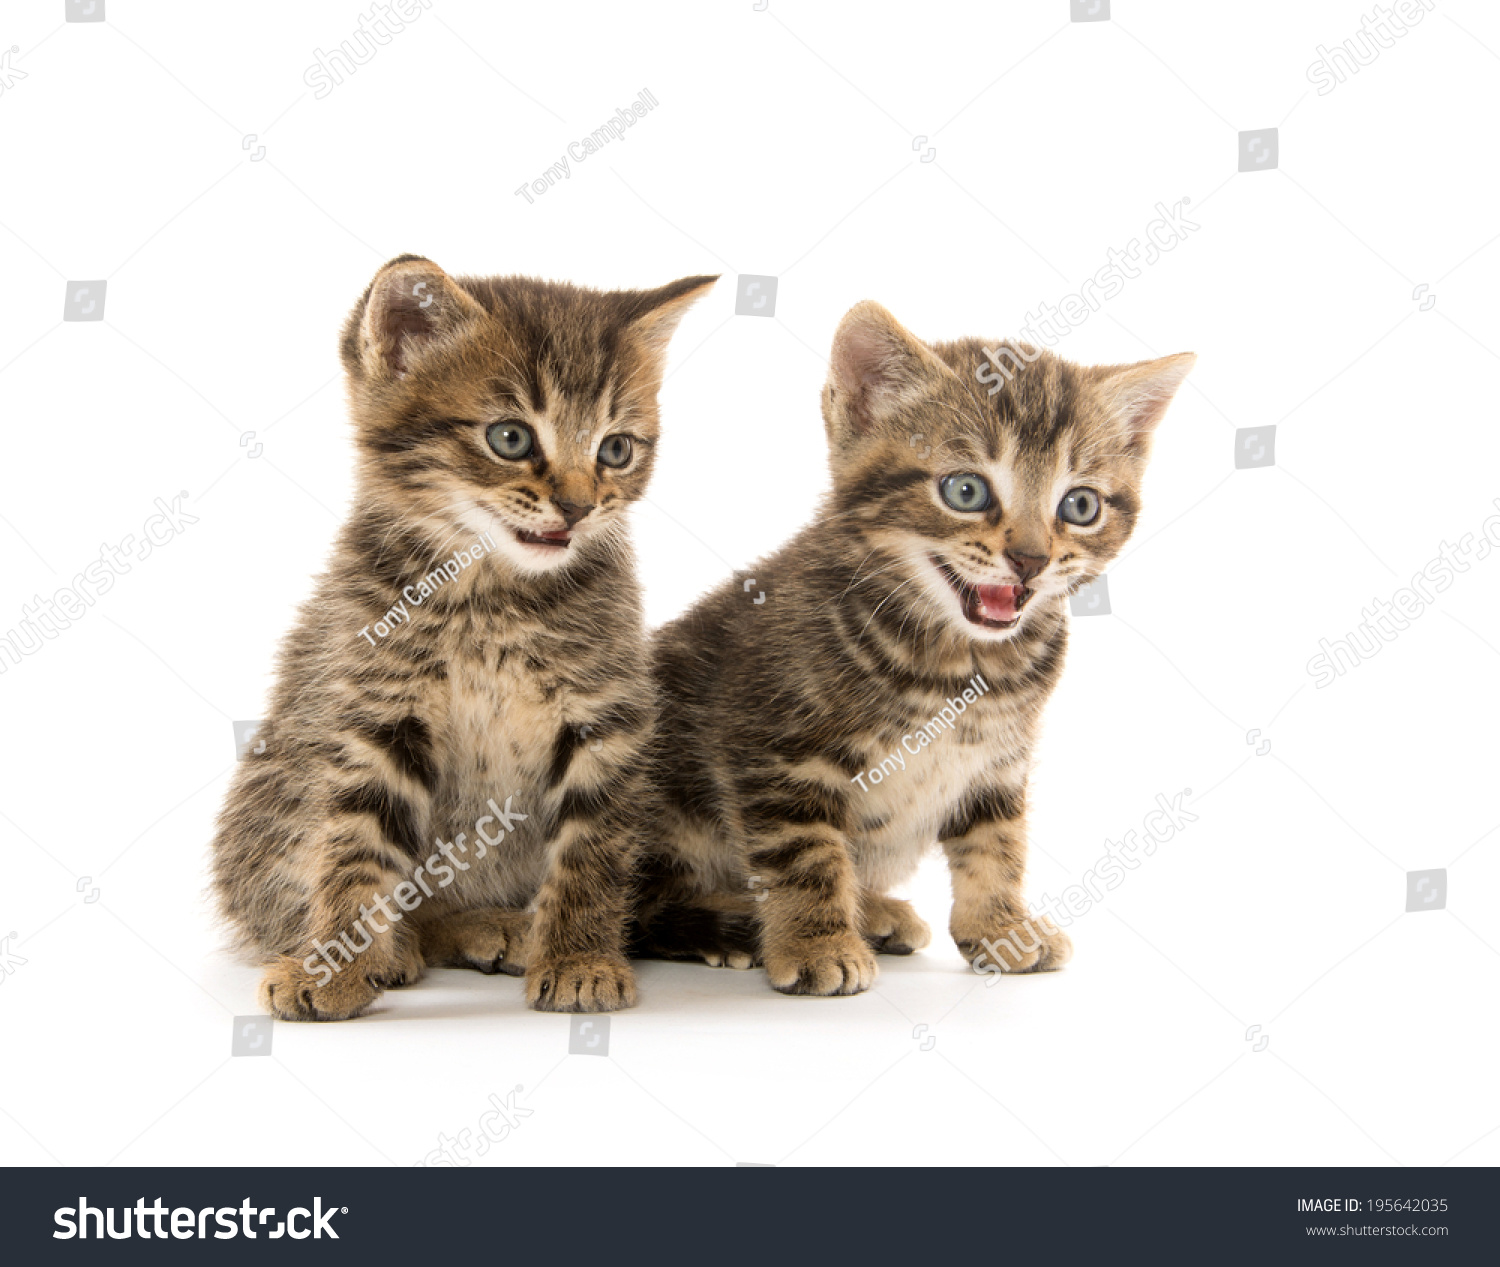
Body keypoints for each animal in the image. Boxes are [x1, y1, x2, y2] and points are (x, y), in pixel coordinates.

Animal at [213, 254, 720, 1019]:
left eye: (616, 449)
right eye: (510, 438)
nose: (578, 506)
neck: (492, 593)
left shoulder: (605, 712)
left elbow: (593, 845)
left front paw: (578, 957)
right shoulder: (375, 709)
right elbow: (353, 844)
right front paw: (331, 967)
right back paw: (409, 943)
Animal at [636, 301, 1194, 995]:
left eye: (1081, 505)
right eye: (966, 491)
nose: (1031, 560)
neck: (960, 663)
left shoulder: (998, 759)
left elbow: (997, 842)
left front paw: (1001, 927)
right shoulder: (769, 744)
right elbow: (803, 851)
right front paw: (817, 943)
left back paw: (871, 909)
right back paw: (736, 926)